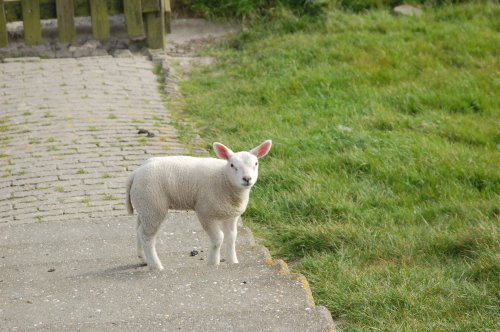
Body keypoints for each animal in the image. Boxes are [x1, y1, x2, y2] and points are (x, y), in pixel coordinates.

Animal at [127, 139, 272, 270]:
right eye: (232, 165)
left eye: (256, 163)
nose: (247, 179)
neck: (223, 178)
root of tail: (136, 172)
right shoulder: (205, 212)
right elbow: (218, 238)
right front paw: (213, 262)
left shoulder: (231, 215)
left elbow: (231, 237)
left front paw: (233, 261)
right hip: (153, 205)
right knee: (147, 237)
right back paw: (156, 266)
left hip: (145, 206)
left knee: (139, 229)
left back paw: (143, 259)